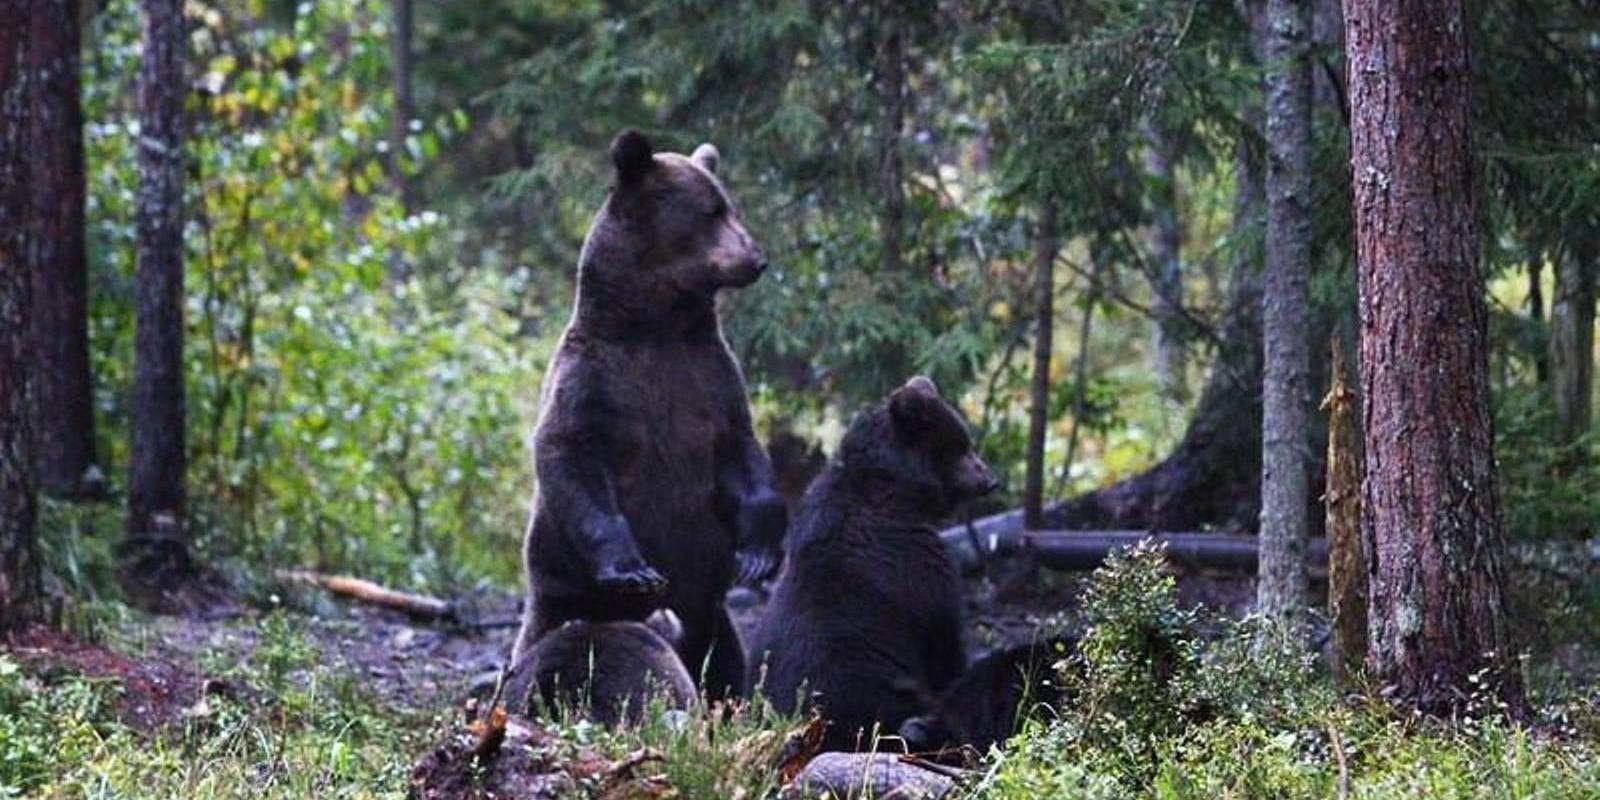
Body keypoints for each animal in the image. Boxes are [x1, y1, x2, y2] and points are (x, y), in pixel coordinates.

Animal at [512, 130, 788, 700]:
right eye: (710, 212)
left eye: (729, 207)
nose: (757, 259)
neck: (659, 325)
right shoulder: (594, 381)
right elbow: (572, 459)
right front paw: (633, 570)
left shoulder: (711, 379)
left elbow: (743, 453)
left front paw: (757, 553)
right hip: (559, 593)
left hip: (707, 612)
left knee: (724, 658)